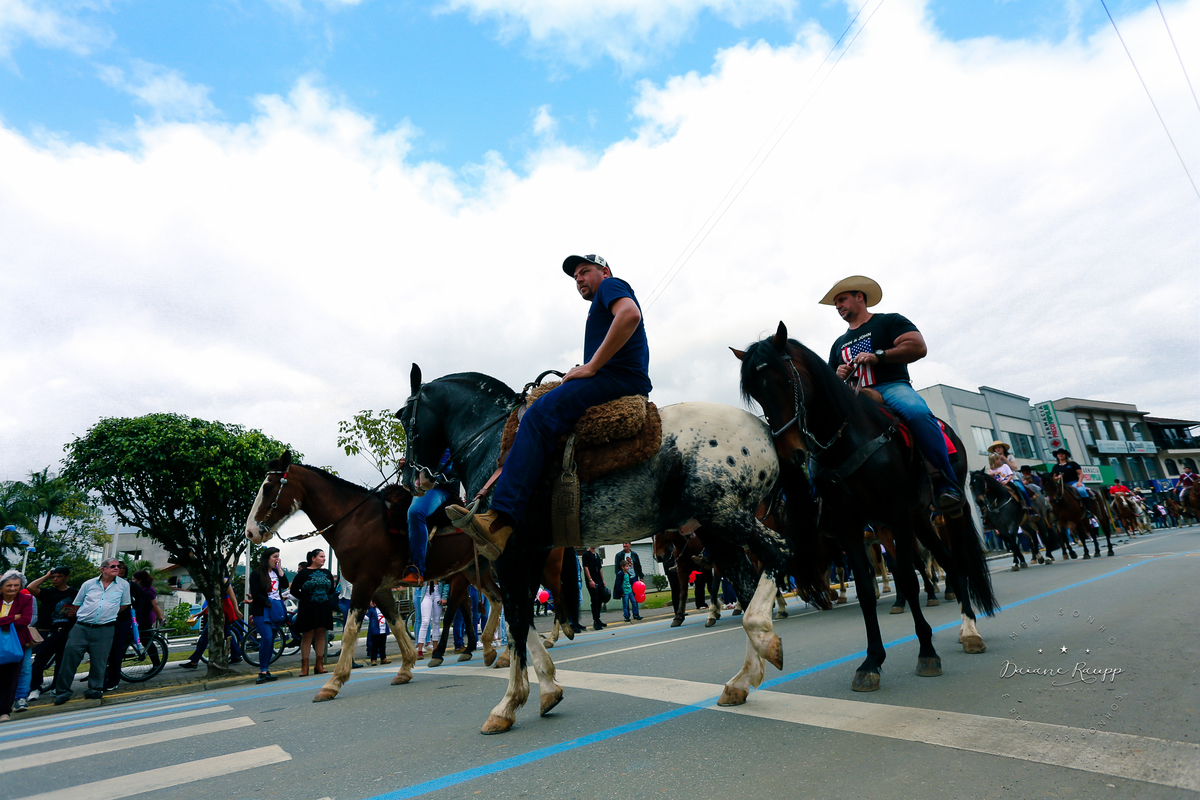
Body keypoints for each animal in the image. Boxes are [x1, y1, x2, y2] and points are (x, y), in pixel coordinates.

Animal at [244, 453, 509, 701]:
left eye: (268, 487)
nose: (250, 532)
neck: (356, 520)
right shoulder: (380, 588)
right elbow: (396, 623)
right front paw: (405, 668)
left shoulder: (364, 584)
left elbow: (350, 630)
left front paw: (333, 683)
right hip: (473, 569)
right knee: (497, 600)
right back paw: (489, 650)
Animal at [399, 366, 829, 732]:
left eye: (405, 417)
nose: (413, 479)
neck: (493, 447)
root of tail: (765, 429)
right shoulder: (530, 551)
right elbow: (521, 617)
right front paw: (547, 689)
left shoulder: (511, 552)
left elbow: (518, 620)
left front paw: (507, 704)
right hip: (717, 530)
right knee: (747, 581)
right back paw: (742, 679)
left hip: (724, 515)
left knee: (778, 555)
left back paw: (763, 637)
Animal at [734, 323, 998, 692]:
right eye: (756, 394)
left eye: (785, 382)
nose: (789, 454)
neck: (847, 440)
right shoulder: (850, 525)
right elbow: (864, 588)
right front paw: (872, 661)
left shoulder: (895, 516)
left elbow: (907, 577)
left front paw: (926, 651)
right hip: (920, 518)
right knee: (947, 560)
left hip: (947, 510)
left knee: (956, 559)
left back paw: (970, 628)